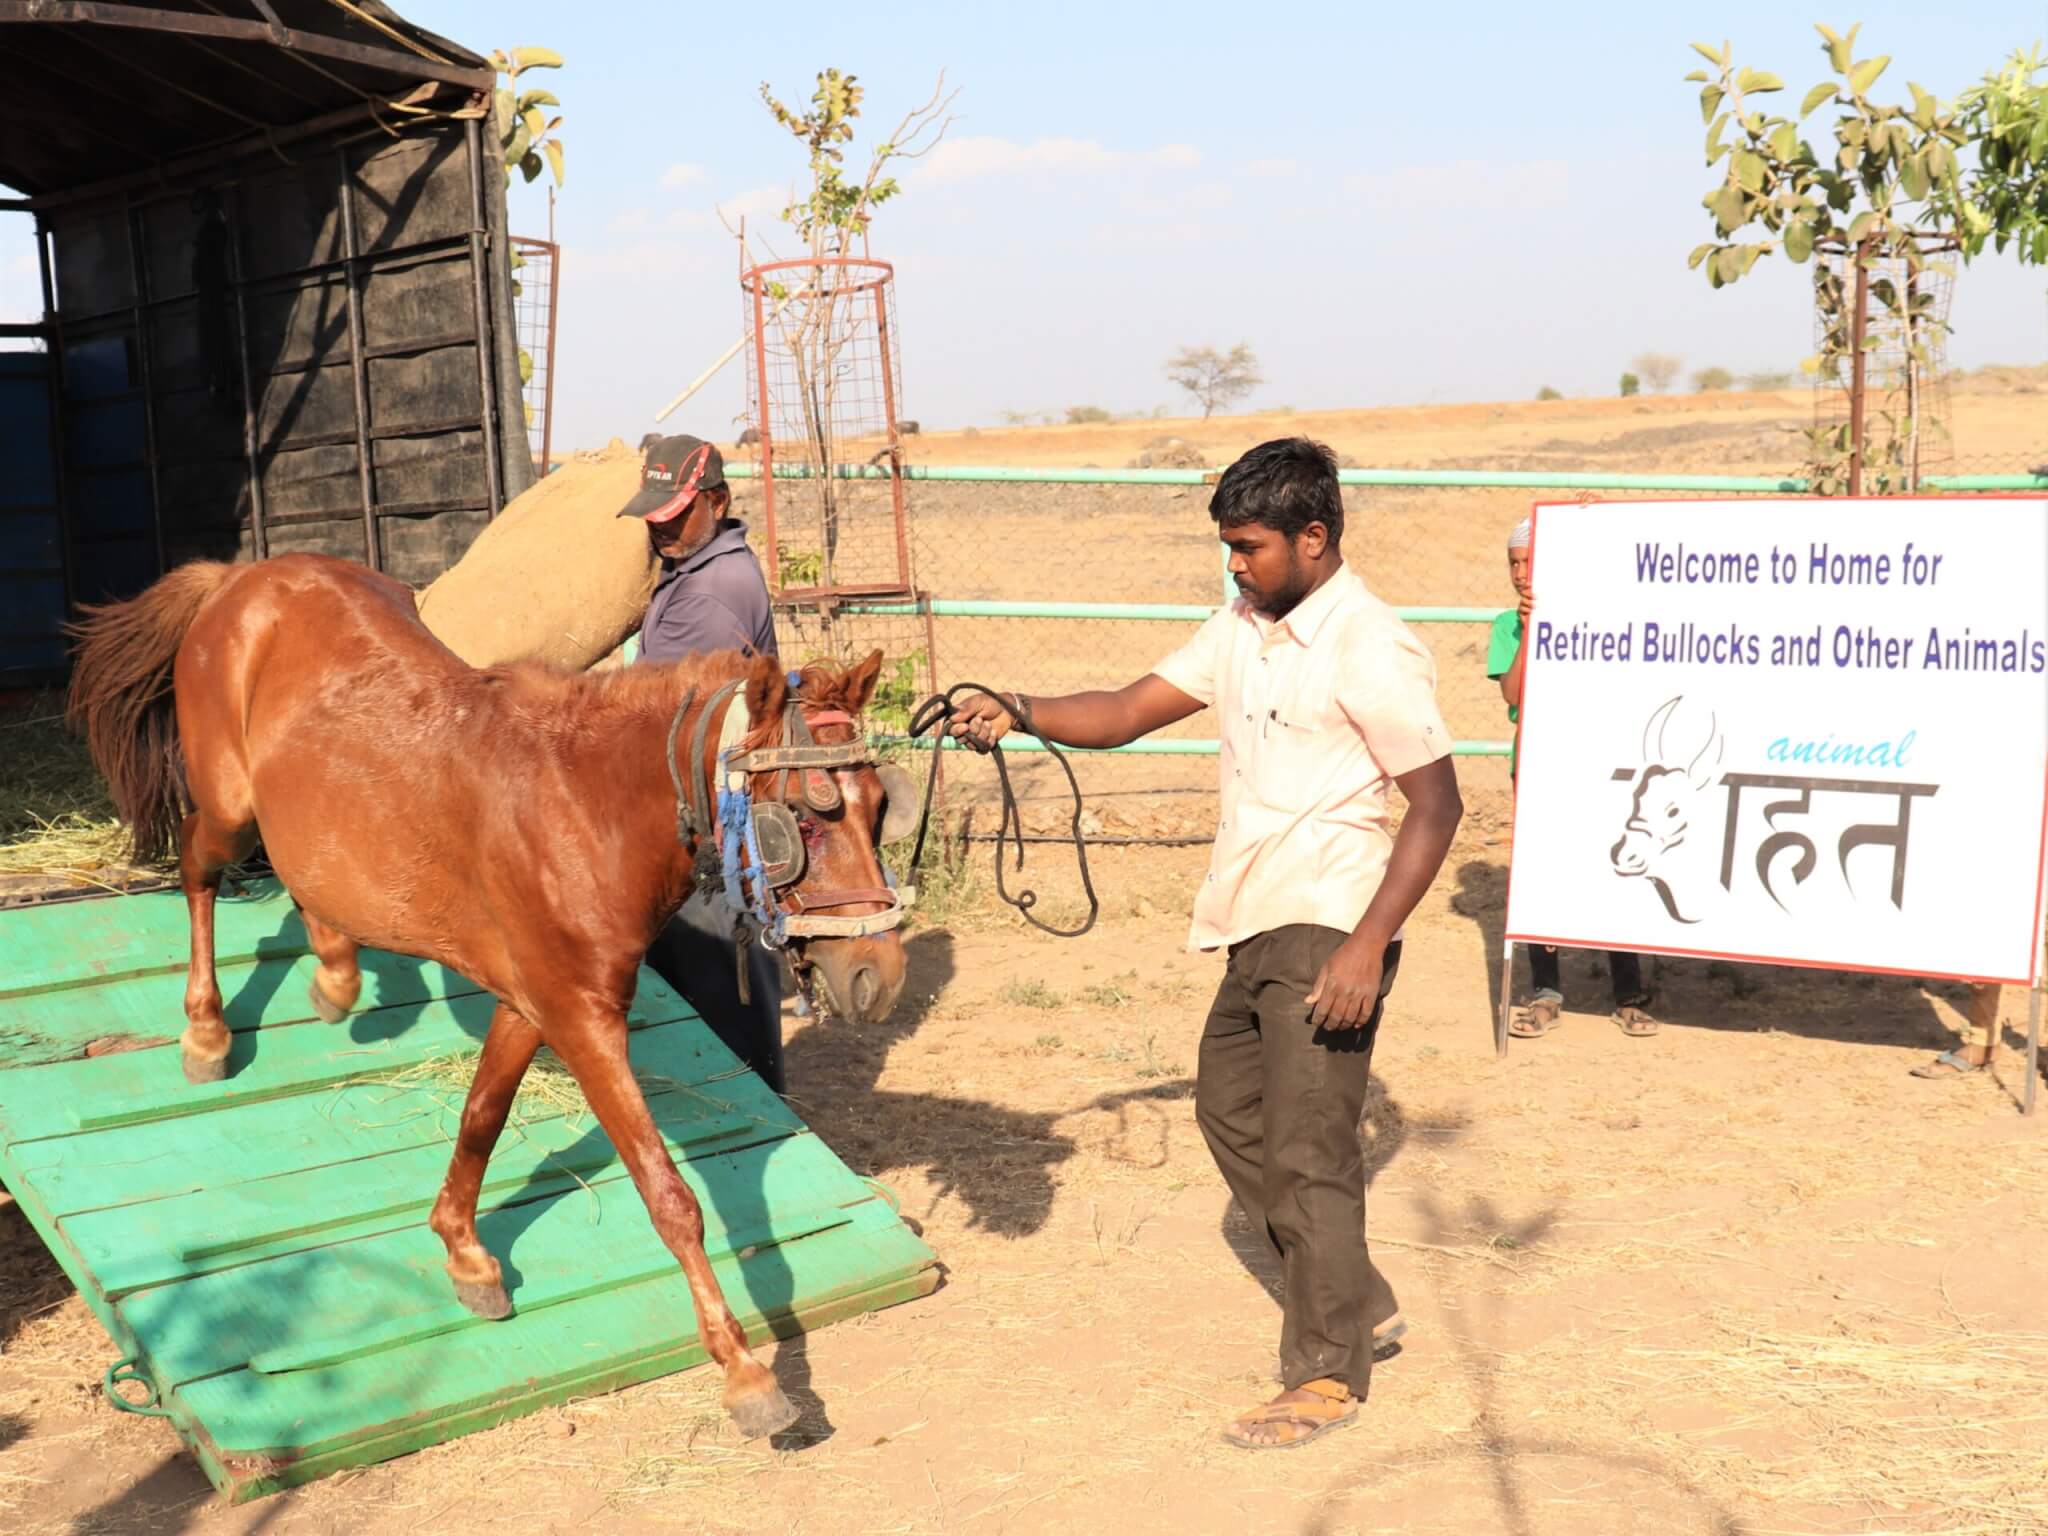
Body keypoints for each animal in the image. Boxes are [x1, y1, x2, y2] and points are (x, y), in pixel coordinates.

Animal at [68, 557, 913, 1441]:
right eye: (806, 821)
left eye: (879, 807)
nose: (877, 977)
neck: (583, 806)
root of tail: (241, 577)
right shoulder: (580, 1018)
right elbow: (669, 1195)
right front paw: (746, 1372)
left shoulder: (533, 1002)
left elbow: (482, 1114)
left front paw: (464, 1251)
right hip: (231, 809)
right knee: (199, 865)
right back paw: (206, 1031)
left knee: (307, 876)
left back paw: (335, 973)